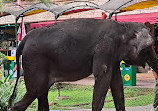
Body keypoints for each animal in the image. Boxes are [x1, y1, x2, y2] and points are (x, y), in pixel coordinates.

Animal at [8, 17, 158, 110]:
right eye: (148, 49)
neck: (123, 26)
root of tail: (23, 41)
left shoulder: (113, 56)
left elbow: (117, 84)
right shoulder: (105, 48)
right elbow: (103, 78)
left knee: (42, 96)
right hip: (35, 63)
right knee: (34, 92)